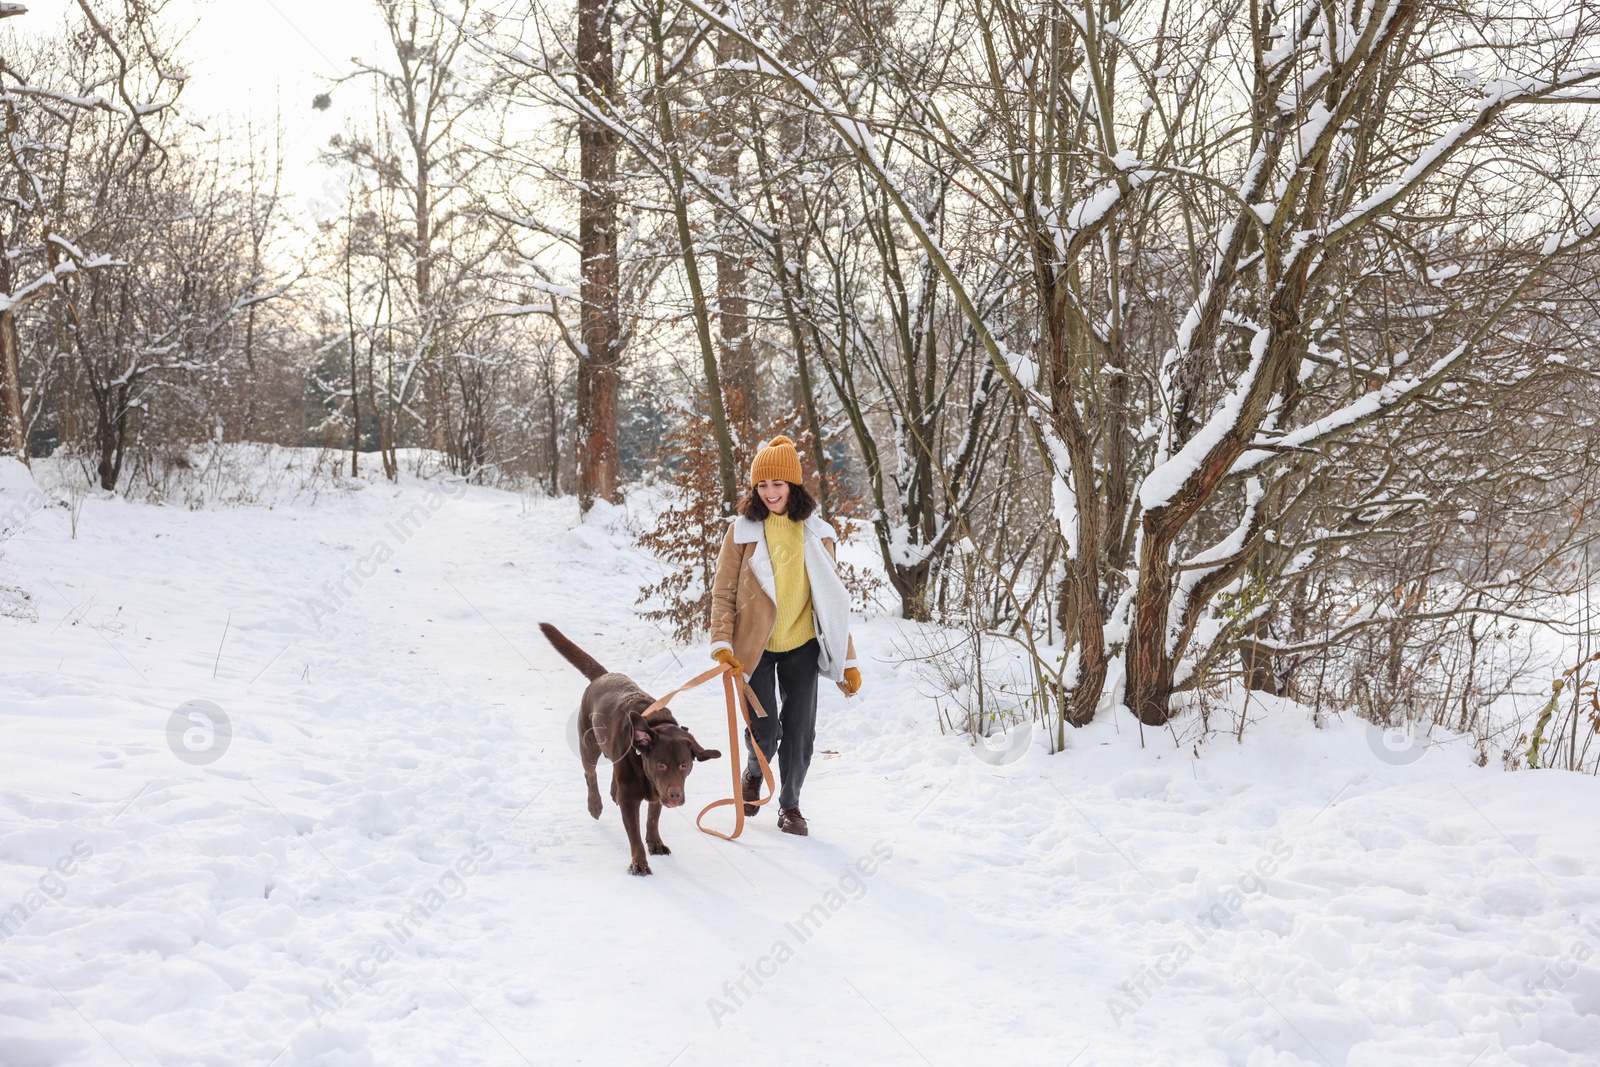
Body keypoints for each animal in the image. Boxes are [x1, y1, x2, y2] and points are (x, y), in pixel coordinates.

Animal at [540, 627, 723, 876]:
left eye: (684, 765)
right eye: (661, 764)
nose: (675, 795)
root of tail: (604, 675)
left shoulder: (658, 790)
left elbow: (653, 818)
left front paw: (655, 843)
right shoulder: (631, 798)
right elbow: (634, 835)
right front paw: (639, 864)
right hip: (588, 744)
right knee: (590, 774)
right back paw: (595, 804)